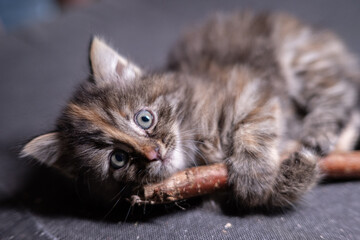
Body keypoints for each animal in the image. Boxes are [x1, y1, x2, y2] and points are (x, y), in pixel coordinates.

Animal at [21, 11, 358, 208]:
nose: (155, 153)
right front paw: (295, 170)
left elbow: (253, 126)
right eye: (118, 159)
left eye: (144, 118)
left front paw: (254, 173)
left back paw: (319, 132)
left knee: (338, 94)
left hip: (305, 61)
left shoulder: (252, 88)